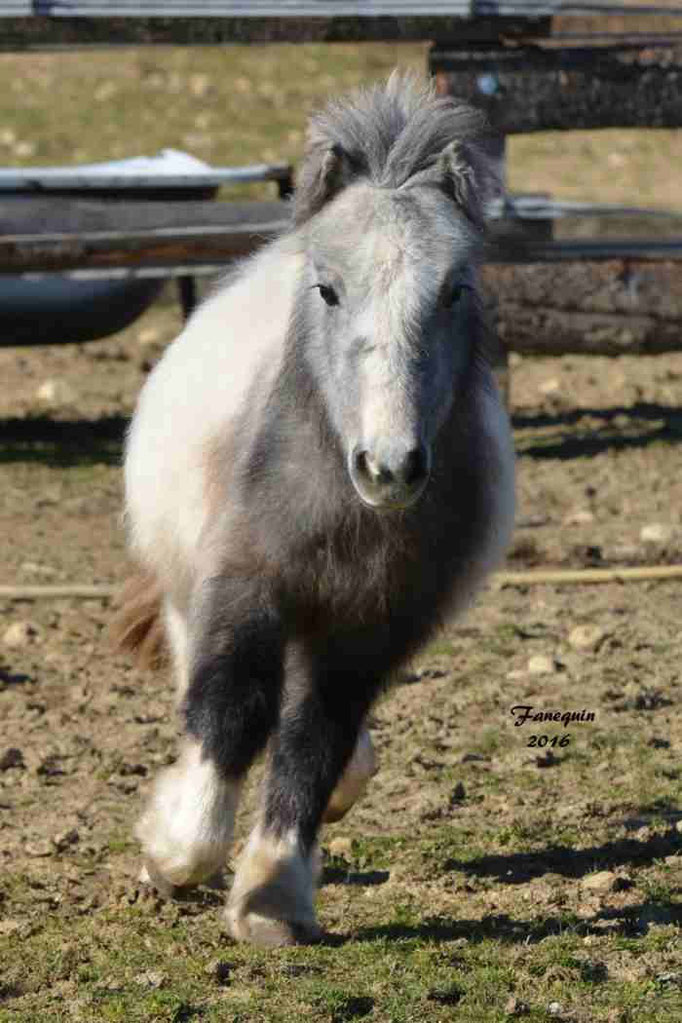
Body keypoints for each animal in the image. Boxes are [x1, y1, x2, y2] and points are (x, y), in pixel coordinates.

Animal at [117, 75, 515, 945]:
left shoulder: (372, 624)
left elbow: (316, 736)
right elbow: (230, 712)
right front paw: (172, 851)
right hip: (188, 591)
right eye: (328, 288)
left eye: (456, 288)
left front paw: (274, 896)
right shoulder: (245, 589)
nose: (389, 466)